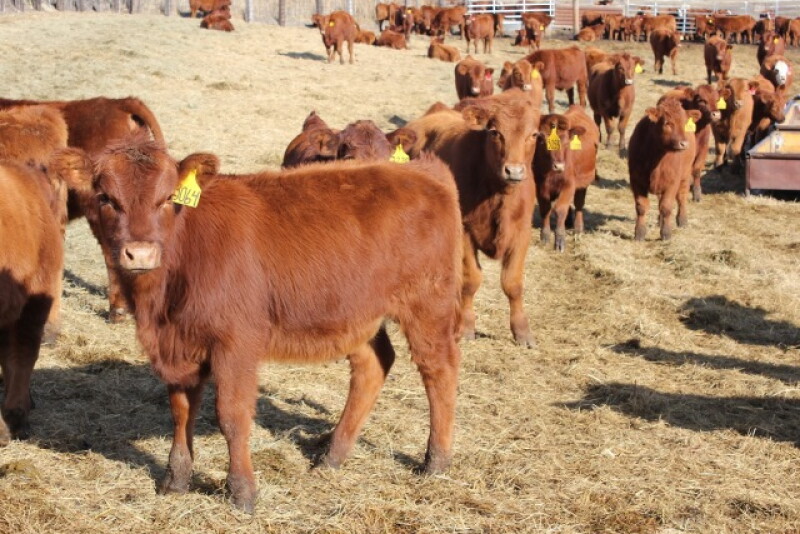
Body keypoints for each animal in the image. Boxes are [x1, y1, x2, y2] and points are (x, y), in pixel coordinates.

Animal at [60, 135, 463, 513]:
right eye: (106, 198)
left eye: (167, 198)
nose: (140, 253)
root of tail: (421, 170)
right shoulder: (177, 346)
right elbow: (181, 411)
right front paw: (175, 480)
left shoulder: (236, 344)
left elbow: (232, 416)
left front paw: (242, 491)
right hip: (356, 314)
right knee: (373, 365)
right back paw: (332, 455)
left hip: (428, 305)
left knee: (439, 370)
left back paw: (436, 461)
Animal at [405, 90, 540, 348]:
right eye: (495, 132)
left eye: (534, 134)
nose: (514, 171)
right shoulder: (465, 231)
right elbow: (471, 280)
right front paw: (467, 326)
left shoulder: (522, 232)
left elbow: (513, 284)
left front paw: (522, 331)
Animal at [533, 106, 599, 252]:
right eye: (542, 140)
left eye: (566, 141)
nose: (559, 166)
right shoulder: (539, 186)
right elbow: (545, 209)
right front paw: (545, 236)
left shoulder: (569, 185)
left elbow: (560, 209)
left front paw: (560, 239)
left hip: (583, 183)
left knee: (579, 204)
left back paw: (578, 229)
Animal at [628, 98, 700, 241]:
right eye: (667, 123)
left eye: (685, 123)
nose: (684, 144)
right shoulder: (636, 180)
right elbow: (641, 207)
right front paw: (639, 233)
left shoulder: (672, 182)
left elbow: (667, 207)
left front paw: (666, 233)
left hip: (685, 175)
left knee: (681, 197)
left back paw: (682, 220)